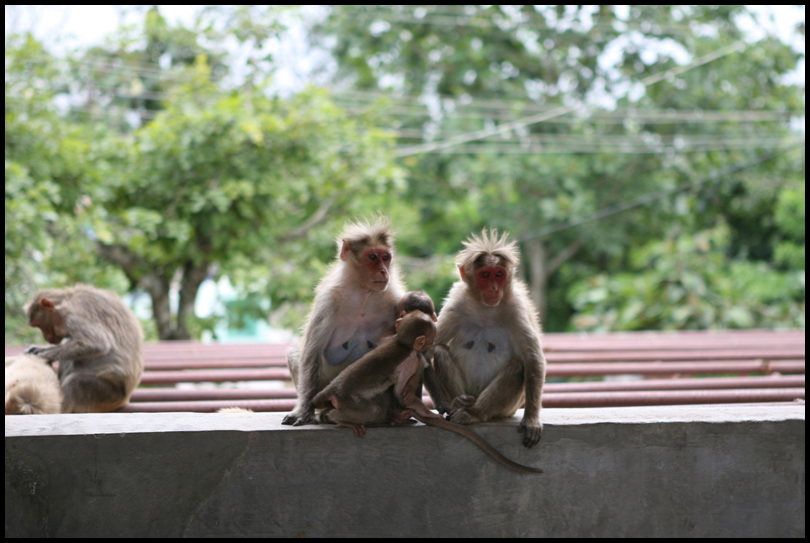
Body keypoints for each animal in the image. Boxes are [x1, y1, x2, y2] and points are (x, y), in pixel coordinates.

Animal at [25, 284, 144, 412]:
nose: (46, 338)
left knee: (76, 381)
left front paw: (41, 355)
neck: (66, 301)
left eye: (39, 325)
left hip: (108, 395)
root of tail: (124, 399)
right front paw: (42, 349)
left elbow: (95, 343)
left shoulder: (75, 314)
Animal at [282, 216, 408, 424]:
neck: (364, 293)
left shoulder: (397, 300)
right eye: (373, 257)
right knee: (295, 355)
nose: (384, 271)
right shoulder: (327, 302)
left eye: (385, 257)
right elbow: (311, 355)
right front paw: (302, 412)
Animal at [426, 230, 548, 446]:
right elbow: (425, 349)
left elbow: (533, 359)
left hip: (508, 408)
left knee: (519, 364)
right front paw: (446, 404)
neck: (485, 309)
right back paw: (458, 404)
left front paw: (532, 420)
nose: (493, 288)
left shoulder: (516, 307)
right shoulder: (456, 303)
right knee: (440, 351)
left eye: (498, 274)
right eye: (485, 275)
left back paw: (474, 413)